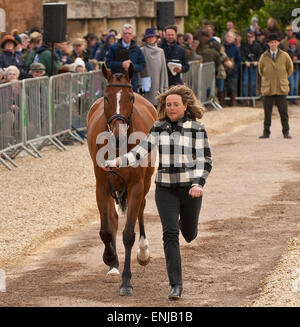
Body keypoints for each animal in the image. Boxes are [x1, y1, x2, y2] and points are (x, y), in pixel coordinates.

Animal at [85, 62, 157, 296]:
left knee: (141, 208)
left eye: (131, 97)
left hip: (145, 181)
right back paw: (114, 266)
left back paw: (143, 252)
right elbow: (107, 230)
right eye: (106, 97)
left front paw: (127, 281)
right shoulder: (102, 185)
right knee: (114, 219)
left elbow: (128, 235)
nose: (118, 132)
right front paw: (110, 259)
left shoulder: (135, 186)